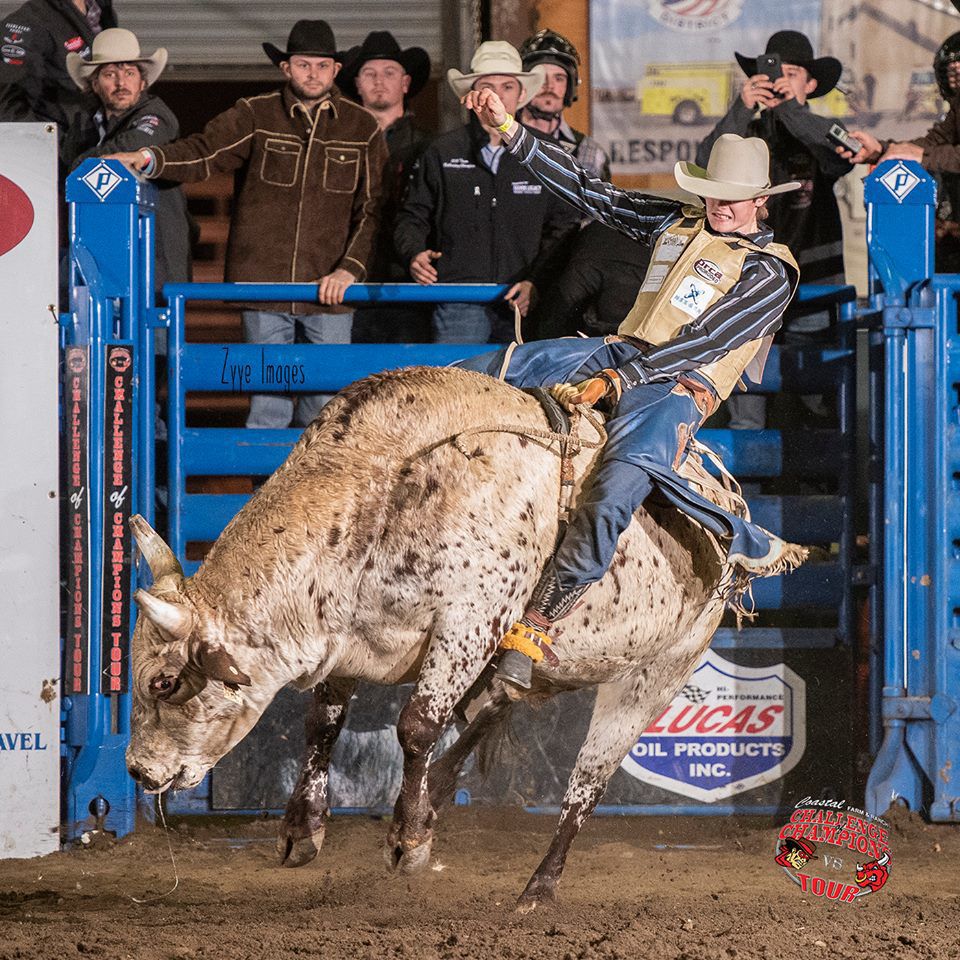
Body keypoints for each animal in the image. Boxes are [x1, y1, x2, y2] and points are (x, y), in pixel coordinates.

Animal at [125, 364, 788, 912]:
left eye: (164, 682)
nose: (138, 771)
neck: (390, 491)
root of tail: (725, 500)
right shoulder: (348, 631)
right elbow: (323, 723)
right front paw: (302, 828)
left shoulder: (468, 624)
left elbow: (416, 727)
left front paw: (409, 842)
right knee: (498, 701)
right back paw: (442, 788)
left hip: (657, 673)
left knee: (586, 786)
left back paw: (536, 887)